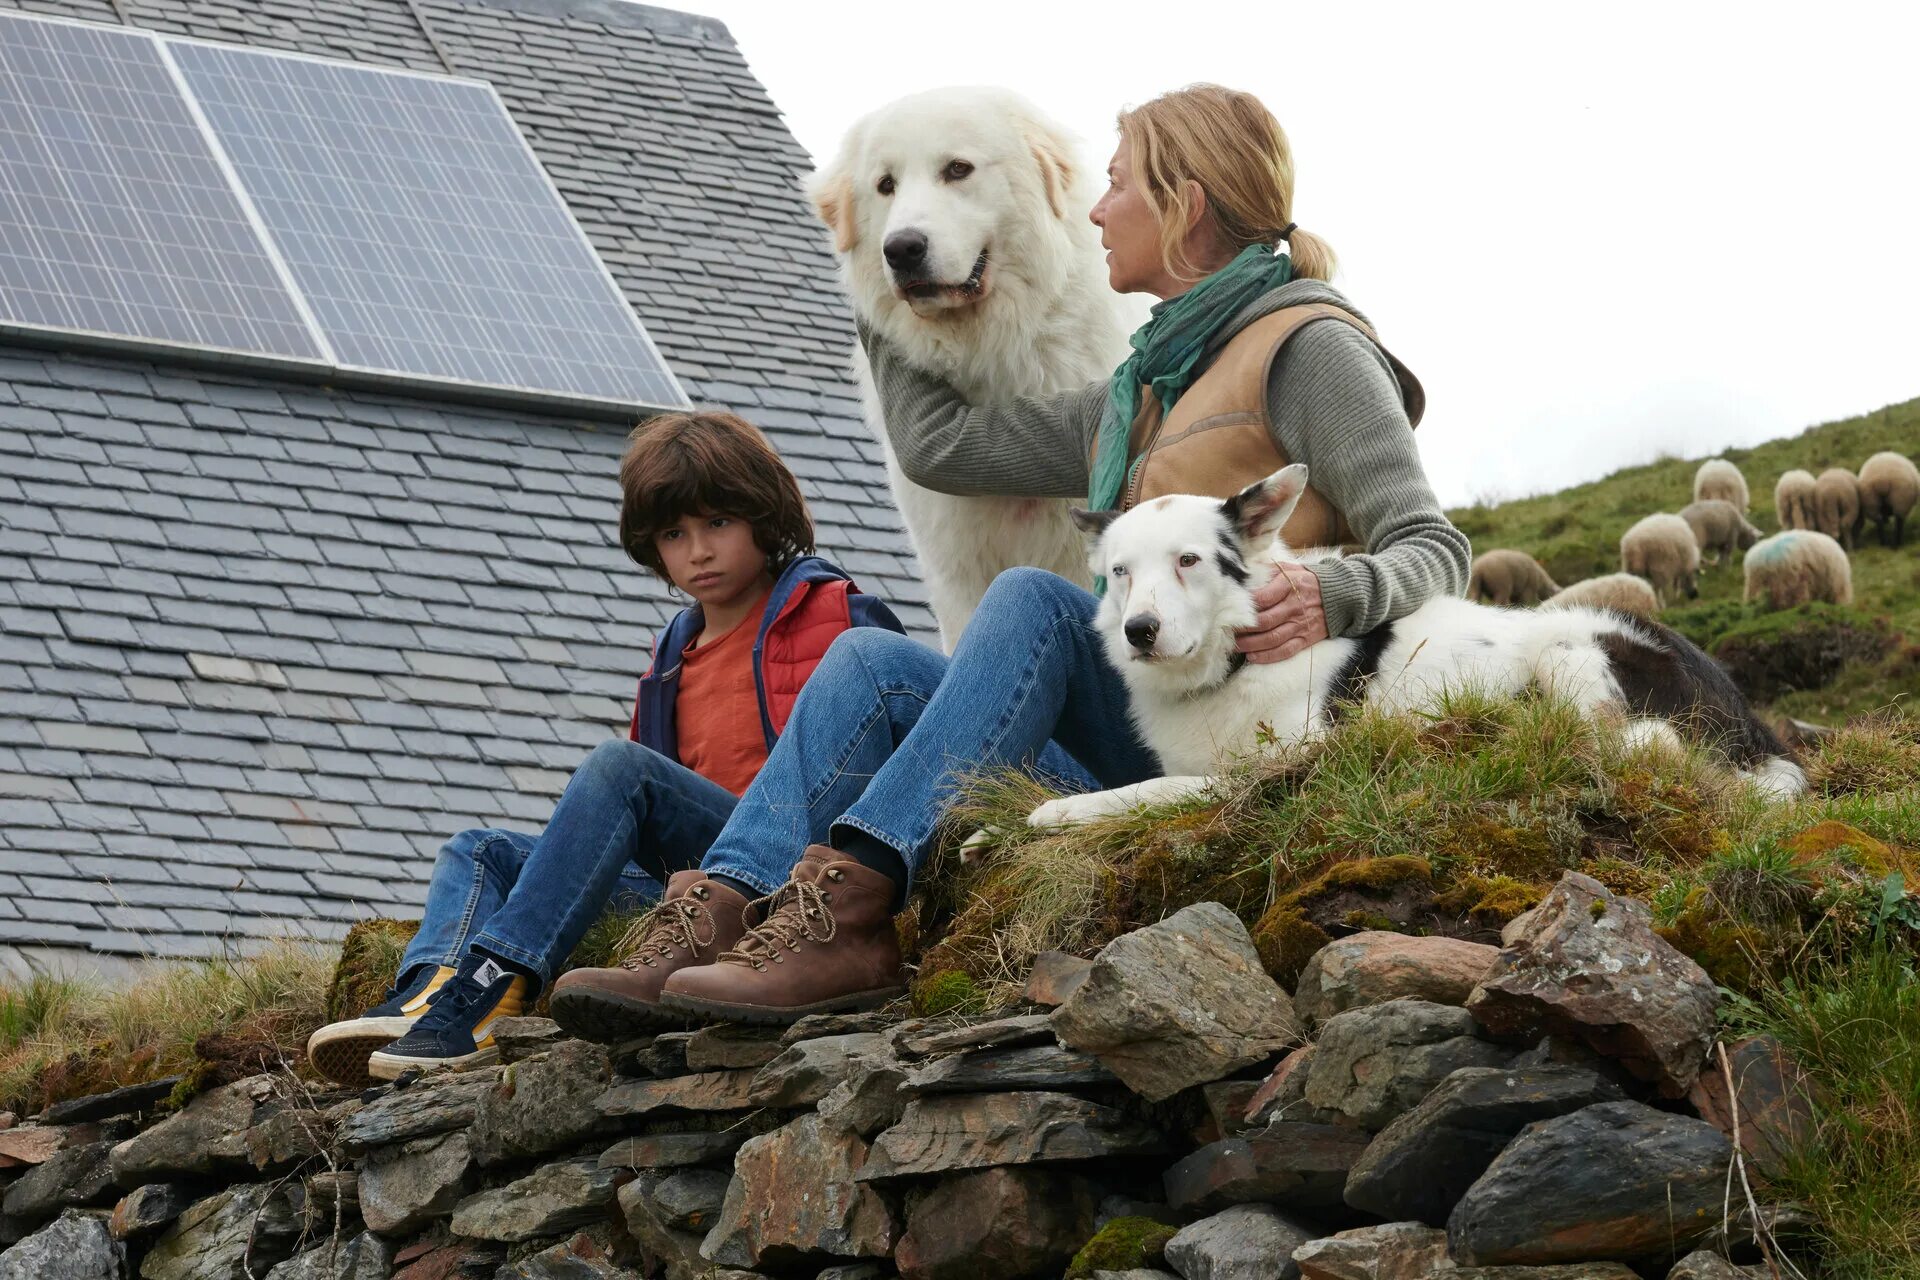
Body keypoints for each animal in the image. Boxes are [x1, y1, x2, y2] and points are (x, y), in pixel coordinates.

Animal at [1029, 470, 1804, 832]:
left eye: (1189, 560)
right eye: (1120, 572)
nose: (1139, 631)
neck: (1235, 660)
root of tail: (1749, 722)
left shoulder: (1273, 767)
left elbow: (1148, 792)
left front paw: (1053, 814)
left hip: (1570, 645)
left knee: (1635, 747)